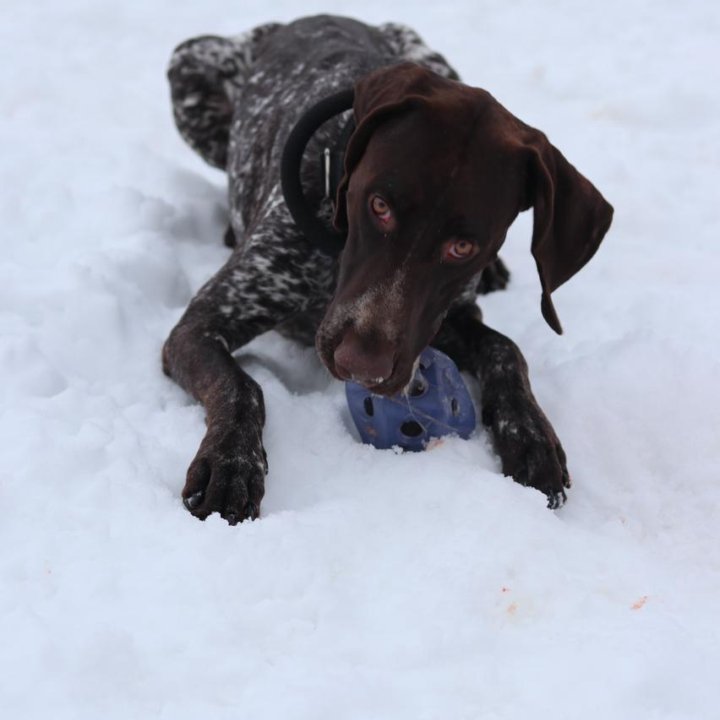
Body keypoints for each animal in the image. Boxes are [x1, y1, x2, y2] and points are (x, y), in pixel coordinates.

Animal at [162, 14, 612, 524]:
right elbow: (242, 386)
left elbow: (506, 348)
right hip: (191, 64)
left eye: (463, 246)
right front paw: (230, 464)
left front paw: (531, 435)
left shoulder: (433, 323)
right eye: (379, 205)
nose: (362, 366)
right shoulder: (202, 324)